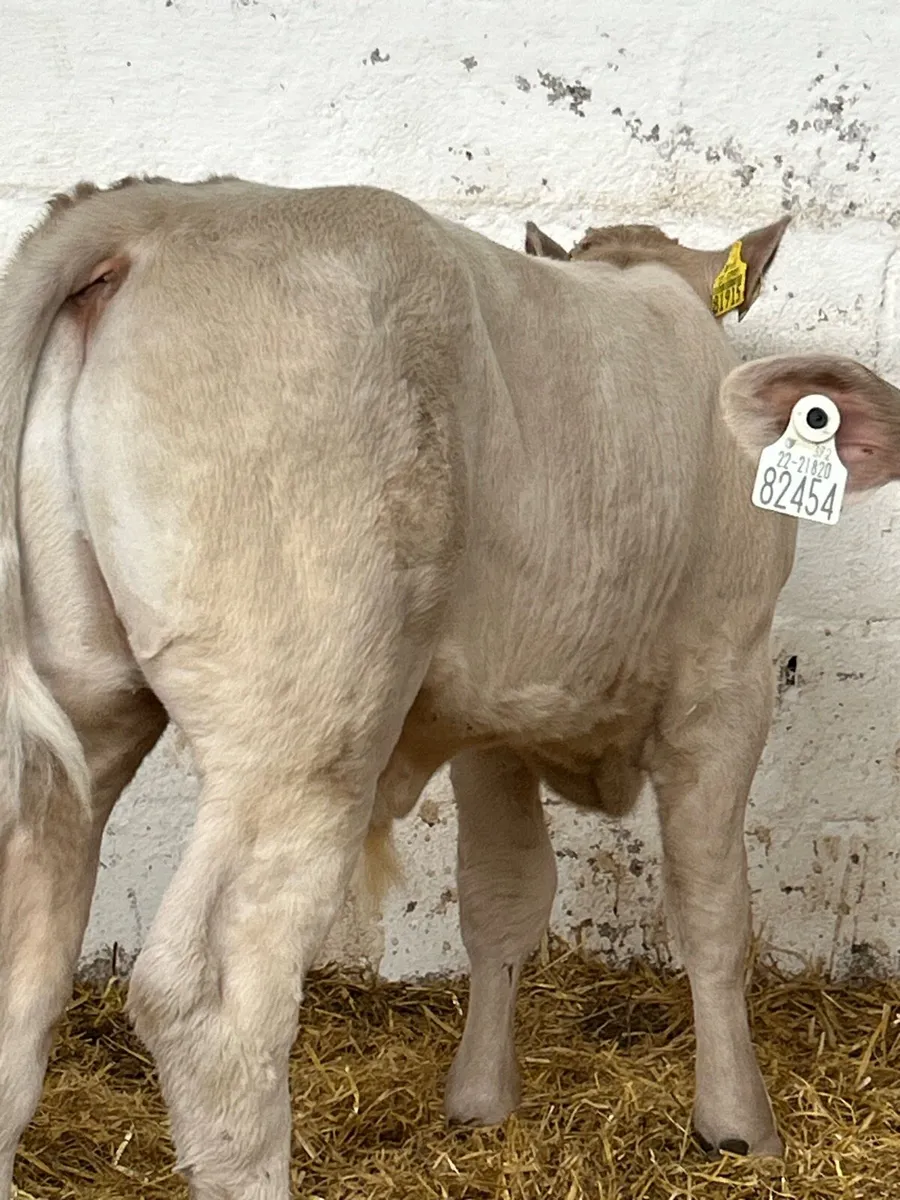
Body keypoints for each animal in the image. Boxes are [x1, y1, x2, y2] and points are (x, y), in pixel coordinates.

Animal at [2, 175, 899, 1199]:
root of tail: (163, 212)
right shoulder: (728, 673)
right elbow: (712, 908)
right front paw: (740, 1127)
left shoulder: (493, 720)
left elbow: (502, 898)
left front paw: (480, 1102)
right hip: (306, 725)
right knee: (213, 1001)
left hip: (85, 713)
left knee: (27, 956)